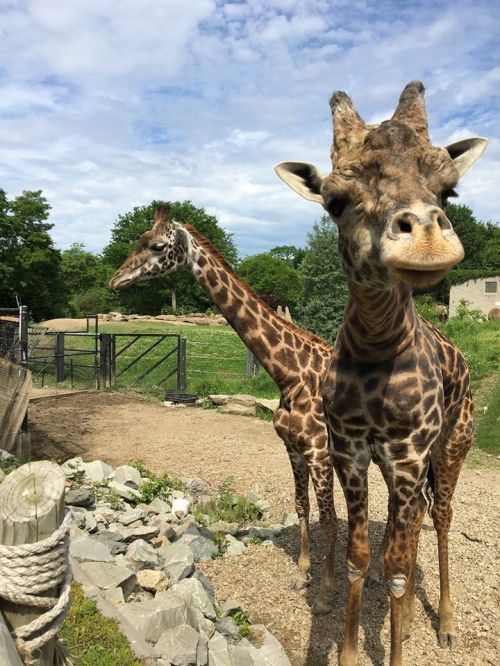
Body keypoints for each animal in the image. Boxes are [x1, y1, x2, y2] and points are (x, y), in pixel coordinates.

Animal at [109, 203, 338, 614]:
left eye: (156, 245)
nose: (115, 280)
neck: (290, 373)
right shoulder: (293, 448)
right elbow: (302, 506)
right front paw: (303, 574)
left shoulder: (318, 451)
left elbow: (329, 518)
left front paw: (326, 595)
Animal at [275, 81, 487, 665]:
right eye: (335, 202)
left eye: (449, 192)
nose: (427, 239)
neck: (375, 349)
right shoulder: (351, 449)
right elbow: (361, 556)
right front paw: (351, 650)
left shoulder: (410, 451)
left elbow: (392, 566)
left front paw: (398, 641)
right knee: (407, 525)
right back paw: (414, 619)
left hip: (451, 446)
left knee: (439, 519)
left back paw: (444, 624)